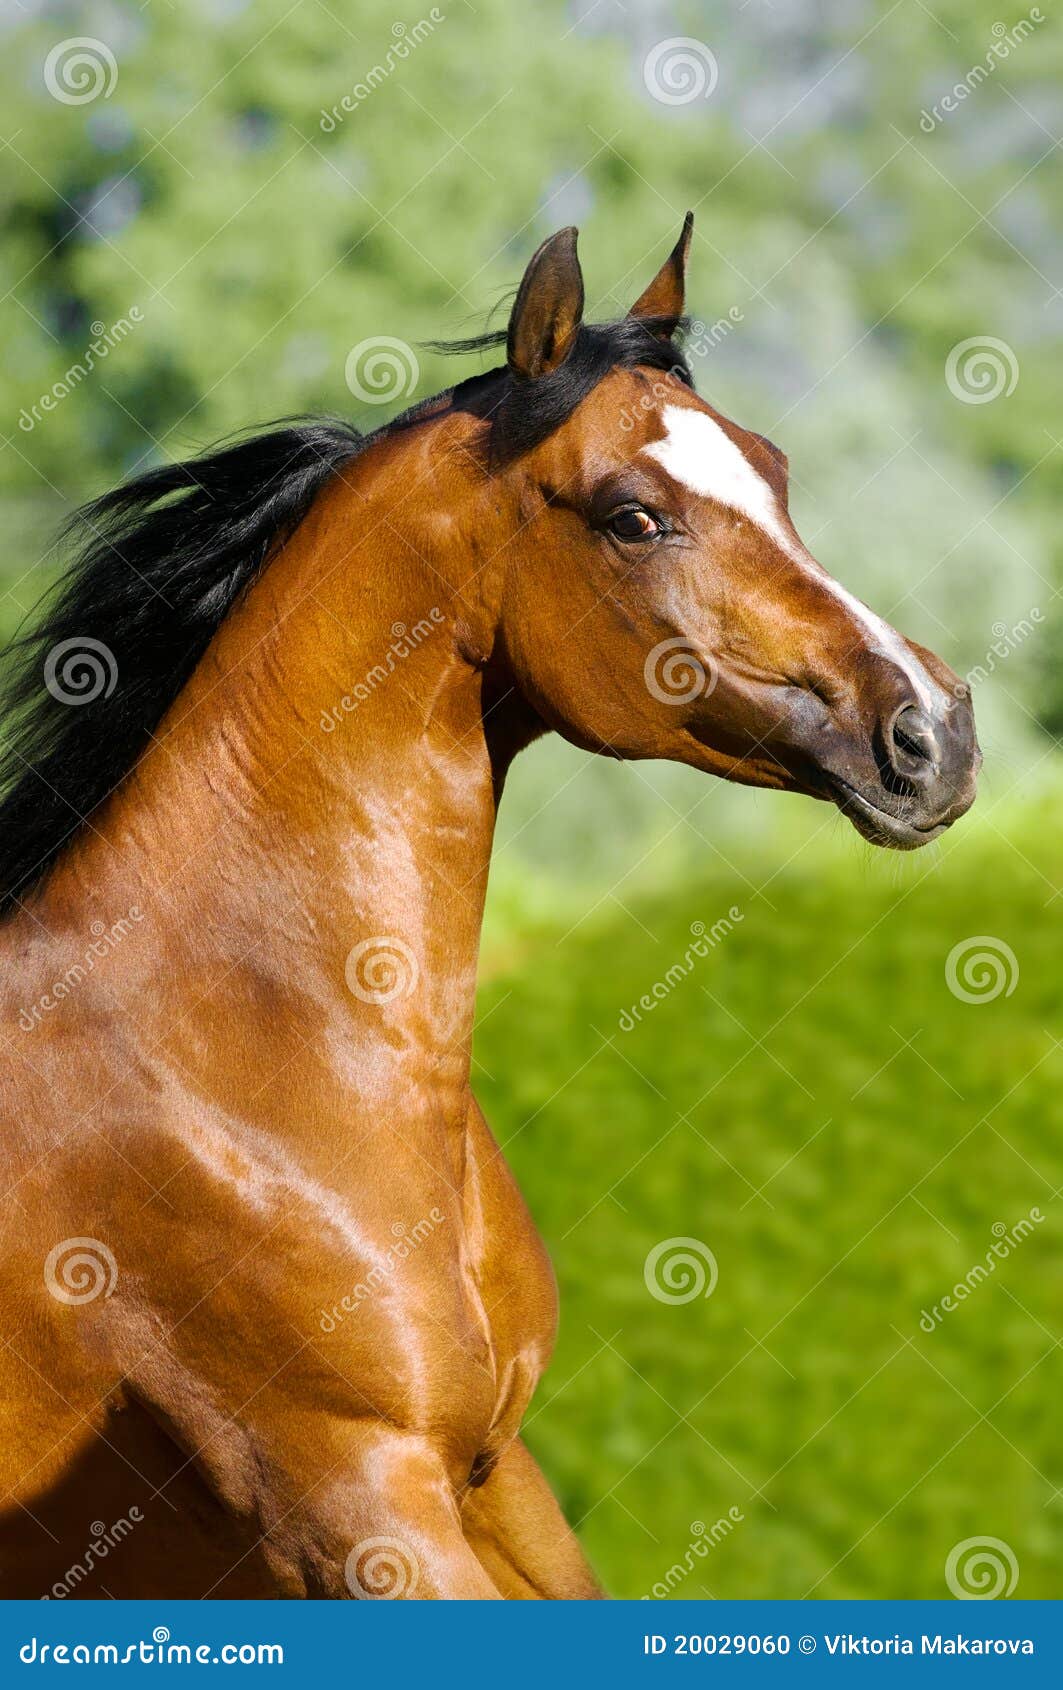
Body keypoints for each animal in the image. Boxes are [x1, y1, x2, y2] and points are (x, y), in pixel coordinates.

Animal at [0, 215, 979, 1599]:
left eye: (774, 471)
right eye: (633, 516)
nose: (931, 732)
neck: (230, 1062)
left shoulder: (493, 1471)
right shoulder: (358, 1499)